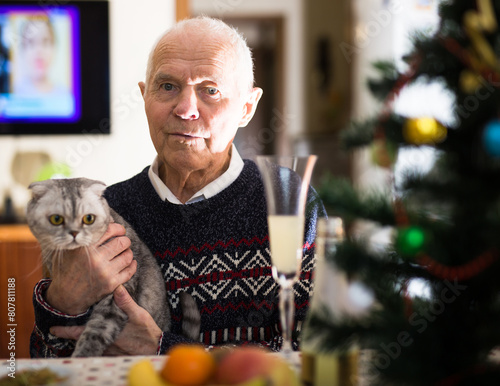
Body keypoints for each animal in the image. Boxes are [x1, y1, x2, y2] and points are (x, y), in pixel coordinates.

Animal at [26, 176, 200, 358]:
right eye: (56, 219)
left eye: (88, 219)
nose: (74, 233)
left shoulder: (117, 295)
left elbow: (97, 332)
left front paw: (82, 356)